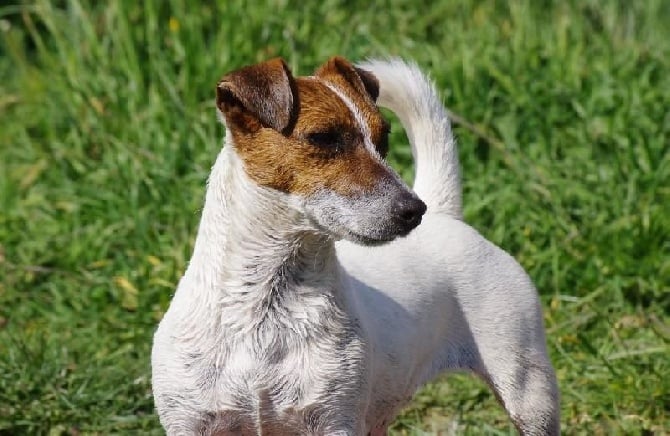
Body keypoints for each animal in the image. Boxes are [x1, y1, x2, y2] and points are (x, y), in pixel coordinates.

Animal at [154, 56, 560, 434]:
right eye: (323, 138)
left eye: (383, 139)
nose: (414, 210)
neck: (265, 311)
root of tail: (446, 215)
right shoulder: (192, 422)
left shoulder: (334, 421)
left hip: (529, 391)